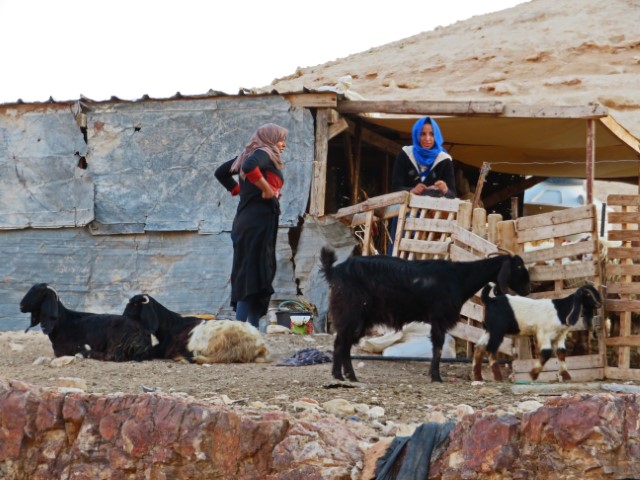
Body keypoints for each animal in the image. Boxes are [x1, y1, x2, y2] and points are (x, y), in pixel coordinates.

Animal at [19, 284, 154, 362]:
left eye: (38, 293)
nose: (21, 306)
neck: (64, 321)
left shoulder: (64, 350)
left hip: (115, 342)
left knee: (112, 355)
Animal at [122, 292, 268, 364]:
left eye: (135, 304)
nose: (123, 316)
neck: (171, 326)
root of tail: (258, 343)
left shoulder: (166, 350)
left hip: (224, 346)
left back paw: (187, 359)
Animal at [318, 248, 528, 382]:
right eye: (518, 267)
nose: (528, 287)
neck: (460, 277)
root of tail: (334, 270)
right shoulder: (439, 318)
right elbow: (438, 347)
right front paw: (436, 377)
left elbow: (437, 347)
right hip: (351, 313)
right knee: (341, 343)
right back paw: (341, 375)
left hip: (359, 318)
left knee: (344, 343)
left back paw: (348, 376)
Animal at [472, 284, 604, 380]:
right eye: (587, 293)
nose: (599, 303)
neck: (560, 310)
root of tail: (488, 299)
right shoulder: (543, 333)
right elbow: (546, 352)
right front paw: (533, 374)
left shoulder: (561, 335)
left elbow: (561, 353)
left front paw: (566, 376)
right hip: (497, 330)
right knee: (491, 348)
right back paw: (498, 377)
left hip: (488, 329)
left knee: (480, 348)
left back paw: (478, 377)